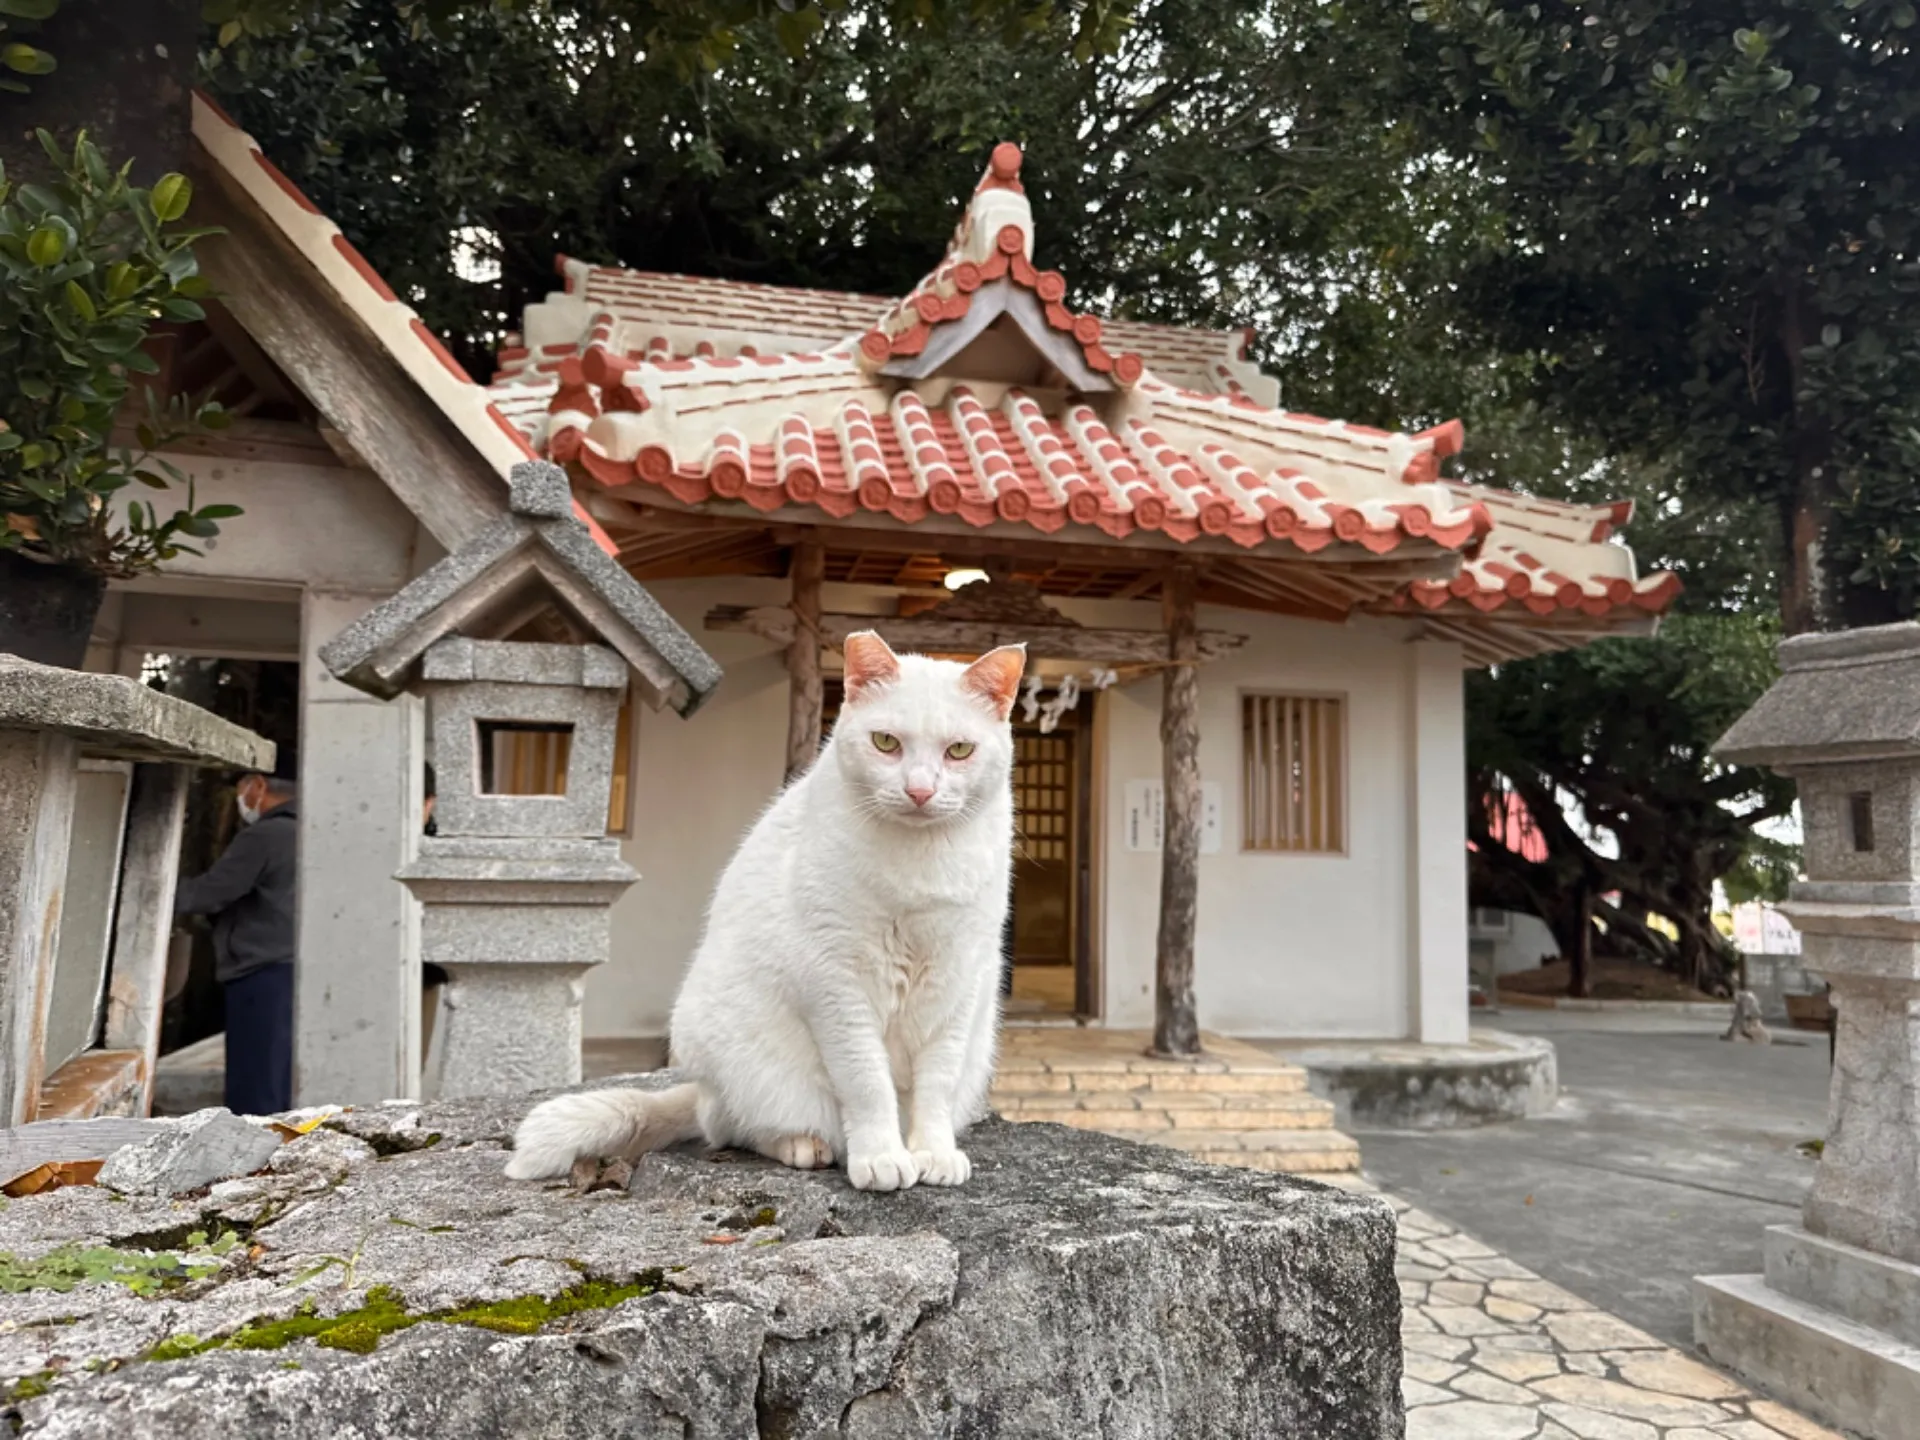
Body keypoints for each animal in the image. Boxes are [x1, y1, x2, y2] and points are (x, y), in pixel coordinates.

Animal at [503, 633, 1029, 1198]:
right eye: (886, 742)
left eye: (959, 751)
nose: (920, 791)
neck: (919, 866)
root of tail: (700, 1087)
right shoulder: (837, 983)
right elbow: (867, 1082)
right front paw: (882, 1157)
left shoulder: (958, 982)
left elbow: (936, 1084)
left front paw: (933, 1153)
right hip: (742, 1060)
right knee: (732, 1127)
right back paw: (805, 1145)